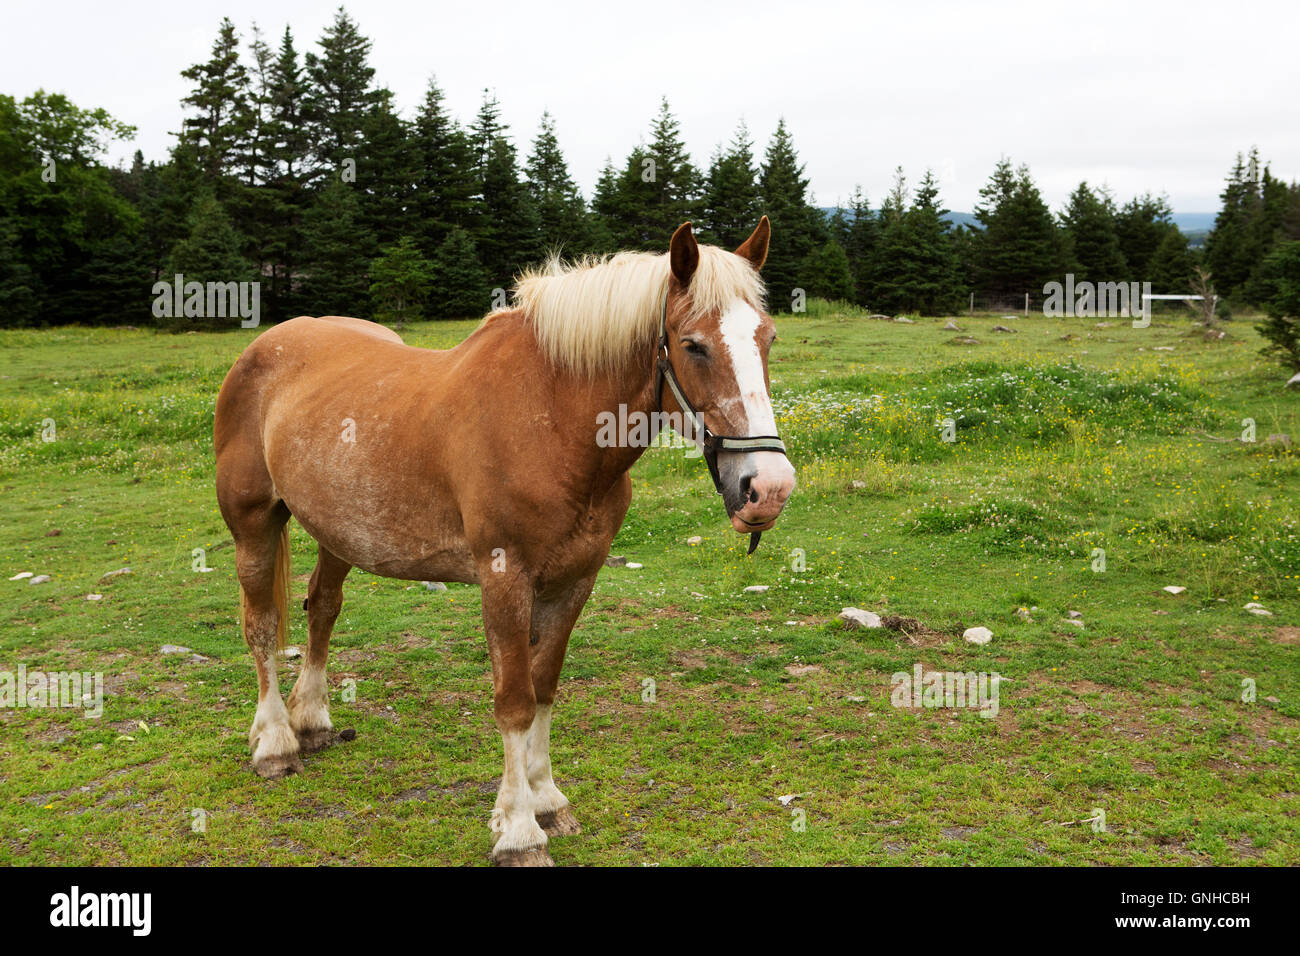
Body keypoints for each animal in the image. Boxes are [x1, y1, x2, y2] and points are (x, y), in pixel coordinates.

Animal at [215, 218, 790, 868]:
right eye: (693, 345)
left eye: (768, 339)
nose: (767, 488)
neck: (549, 419)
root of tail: (263, 349)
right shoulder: (504, 579)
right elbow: (514, 698)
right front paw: (518, 830)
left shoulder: (574, 582)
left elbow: (544, 687)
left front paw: (546, 800)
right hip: (253, 523)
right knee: (261, 624)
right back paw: (275, 742)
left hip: (338, 530)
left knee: (323, 607)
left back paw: (311, 720)